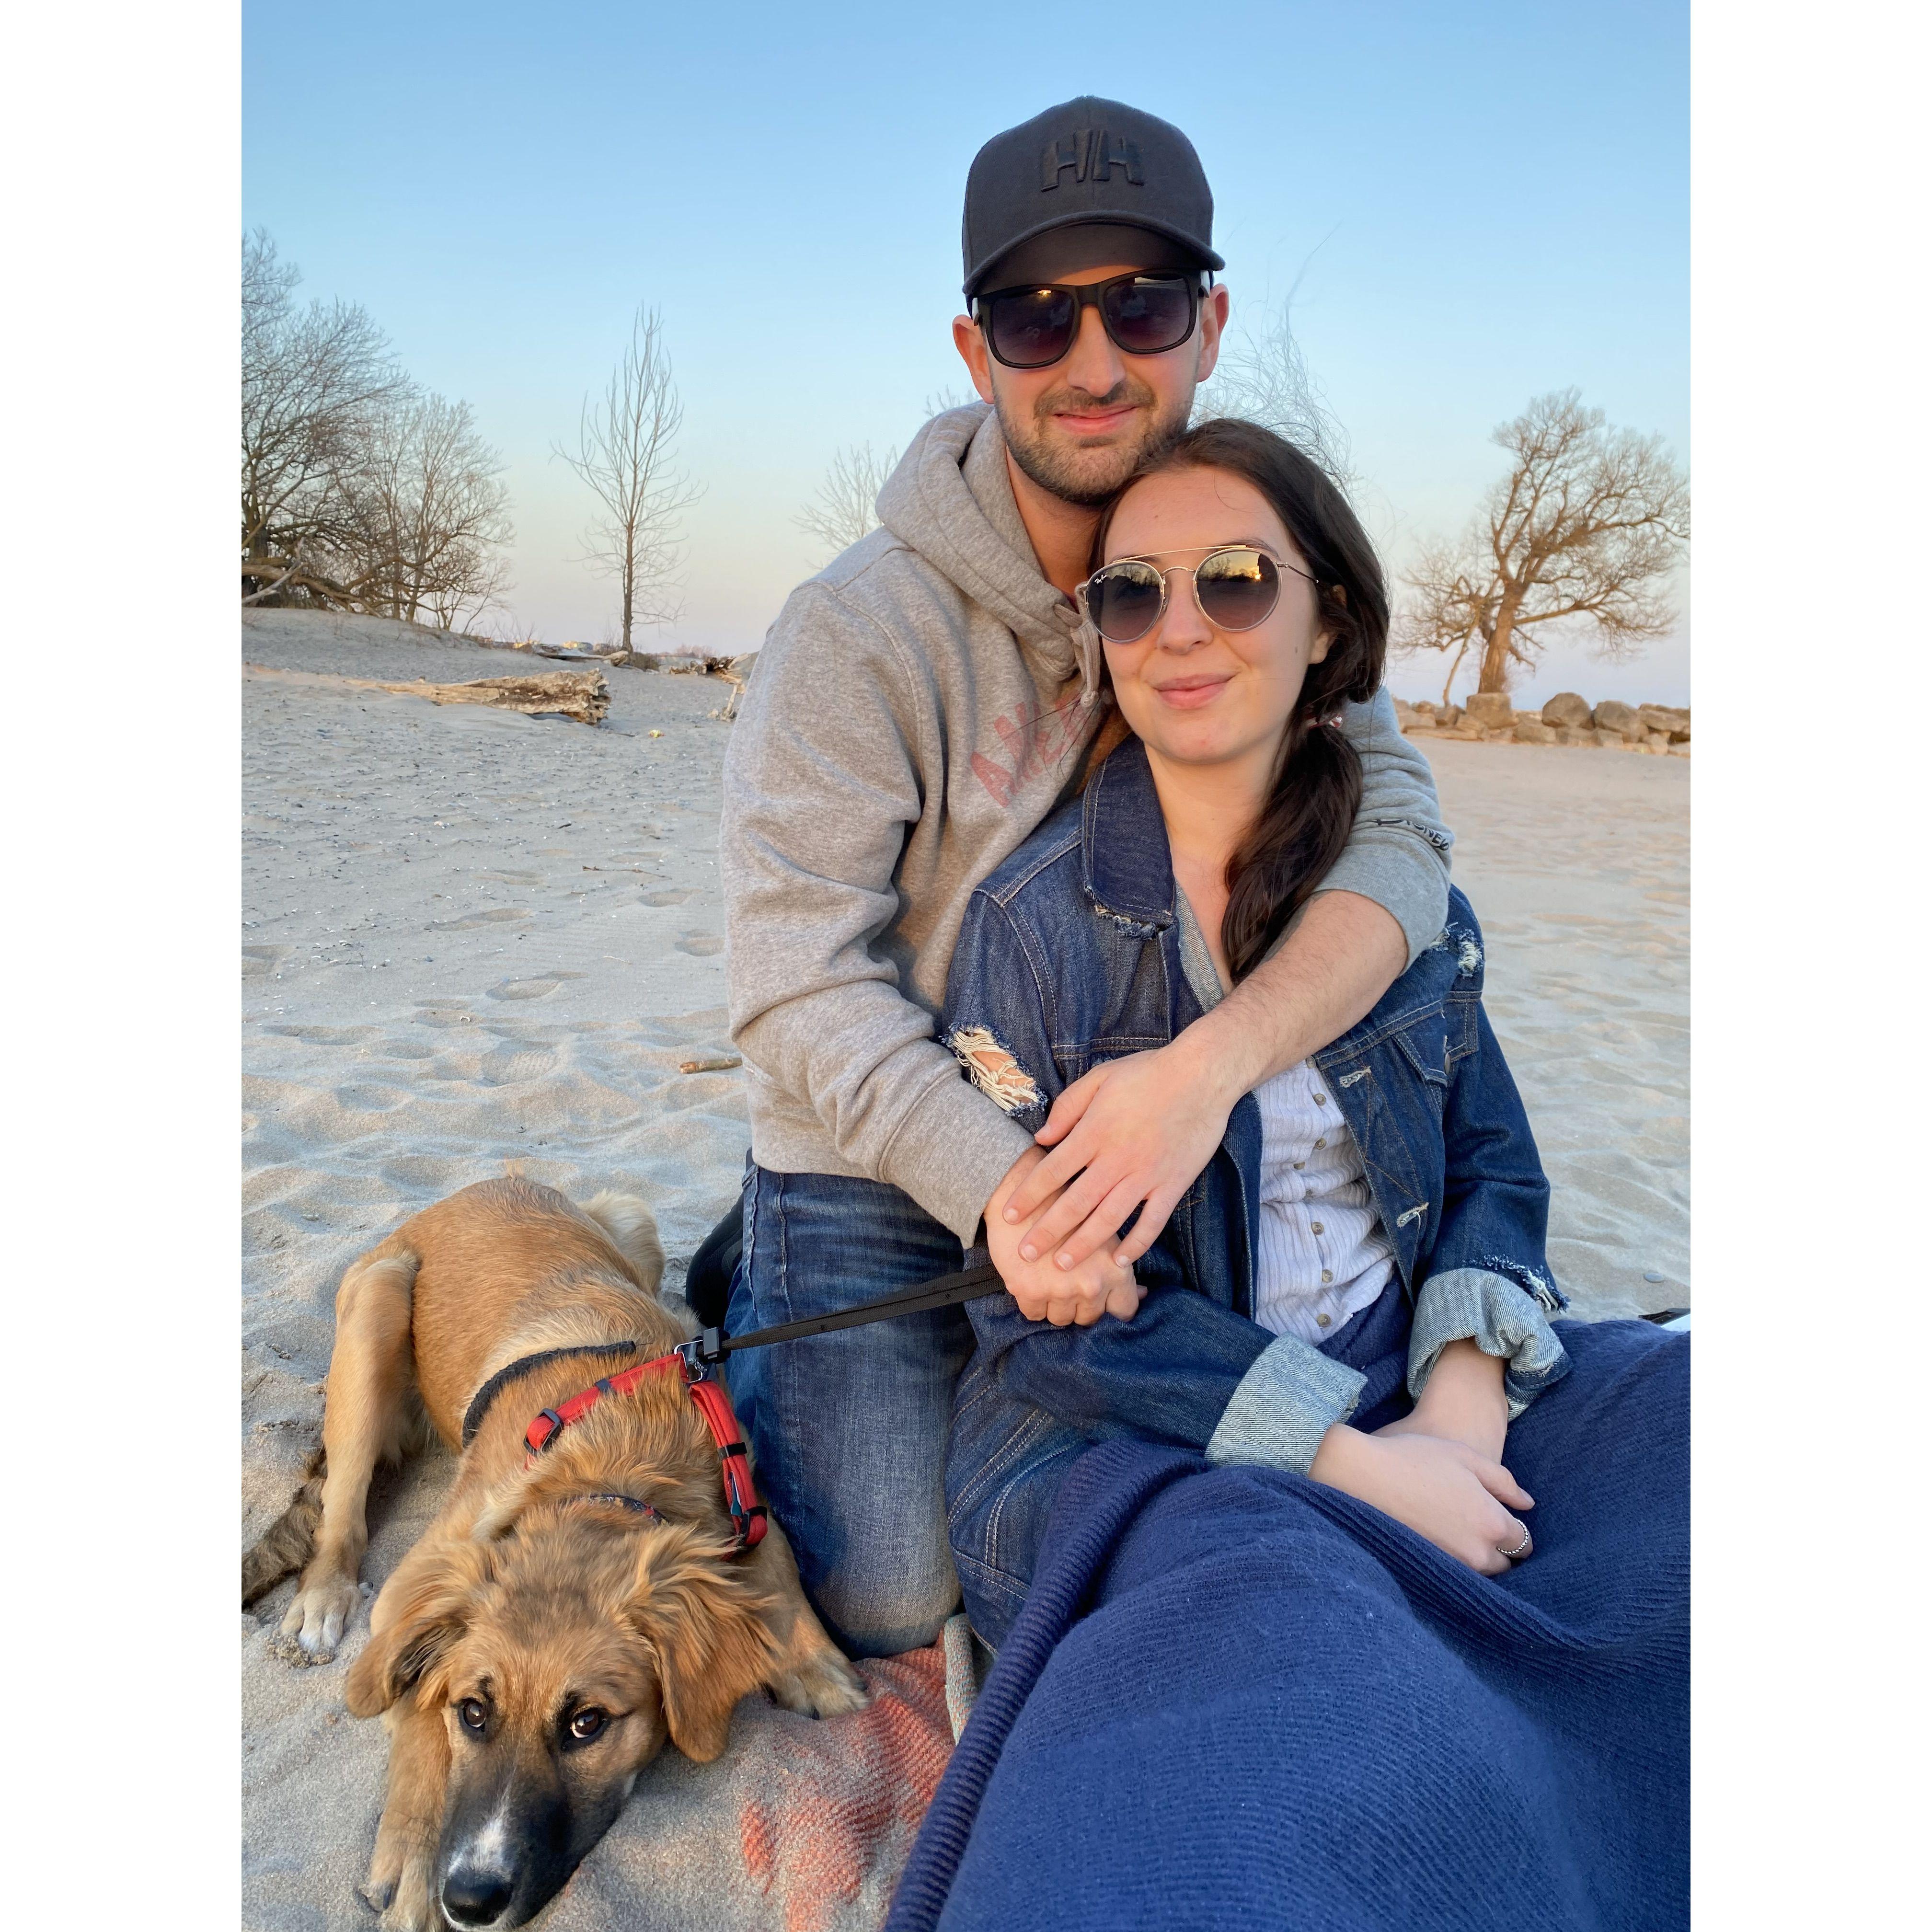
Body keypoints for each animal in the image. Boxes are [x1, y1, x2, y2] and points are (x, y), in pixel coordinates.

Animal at [244, 1176, 867, 1931]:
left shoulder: (744, 1493)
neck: (612, 1471)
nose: (471, 1900)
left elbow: (779, 1569)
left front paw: (816, 1670)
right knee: (343, 1508)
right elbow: (416, 1692)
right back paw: (322, 1596)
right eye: (473, 1713)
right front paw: (415, 1861)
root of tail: (479, 1185)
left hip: (631, 1219)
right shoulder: (419, 1580)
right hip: (376, 1304)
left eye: (586, 1725)